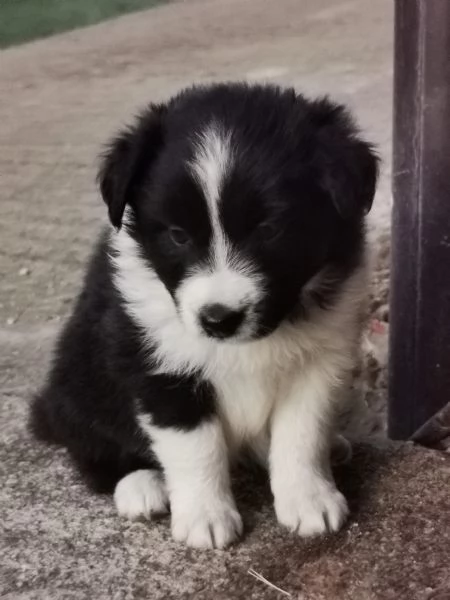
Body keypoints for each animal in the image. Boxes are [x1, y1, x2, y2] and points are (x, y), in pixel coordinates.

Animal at [29, 83, 378, 548]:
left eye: (270, 230)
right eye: (178, 236)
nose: (218, 319)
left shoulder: (320, 364)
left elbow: (302, 434)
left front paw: (308, 499)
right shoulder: (161, 368)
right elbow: (197, 448)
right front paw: (205, 517)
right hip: (80, 380)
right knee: (93, 449)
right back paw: (140, 485)